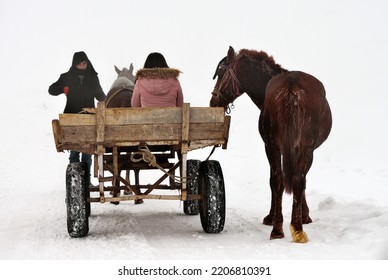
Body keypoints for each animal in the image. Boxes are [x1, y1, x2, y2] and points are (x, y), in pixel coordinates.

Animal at [211, 46, 332, 243]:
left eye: (221, 73)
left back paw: (284, 228)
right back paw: (290, 228)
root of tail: (292, 89)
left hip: (279, 147)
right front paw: (300, 215)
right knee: (290, 180)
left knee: (283, 180)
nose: (213, 101)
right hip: (294, 147)